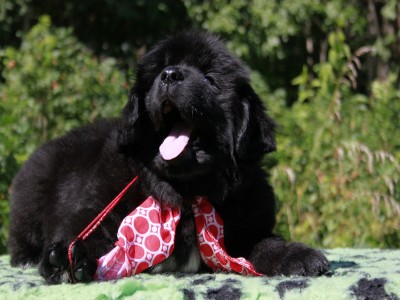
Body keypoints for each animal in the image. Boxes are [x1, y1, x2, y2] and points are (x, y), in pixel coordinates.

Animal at [8, 31, 328, 282]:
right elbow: (89, 233)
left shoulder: (248, 221)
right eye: (159, 71)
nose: (171, 75)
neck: (186, 192)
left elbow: (265, 242)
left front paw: (298, 255)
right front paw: (68, 259)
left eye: (210, 78)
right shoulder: (93, 207)